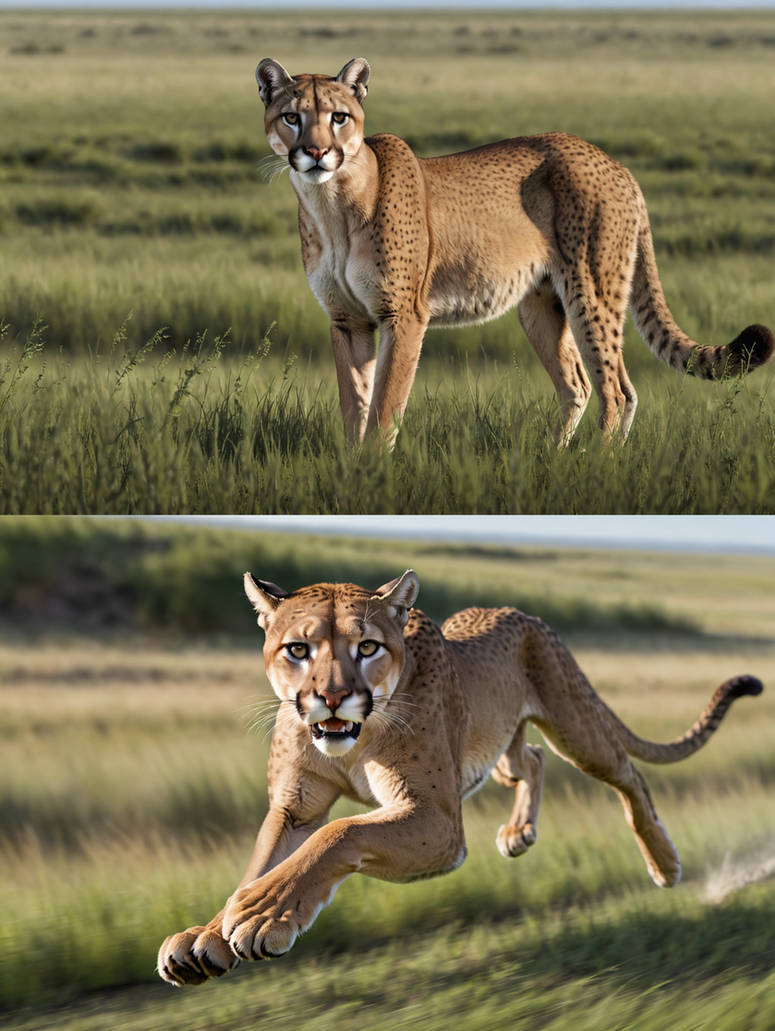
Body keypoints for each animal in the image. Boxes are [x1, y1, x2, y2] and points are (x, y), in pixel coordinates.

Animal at [157, 569, 763, 986]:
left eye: (367, 646)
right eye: (298, 649)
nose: (332, 698)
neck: (352, 740)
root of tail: (518, 612)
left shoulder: (440, 822)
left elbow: (340, 834)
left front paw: (262, 915)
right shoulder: (295, 806)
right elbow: (260, 863)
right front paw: (207, 936)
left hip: (575, 728)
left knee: (627, 772)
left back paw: (663, 862)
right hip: (496, 751)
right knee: (532, 759)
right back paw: (519, 833)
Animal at [254, 57, 773, 448]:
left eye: (339, 117)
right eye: (292, 117)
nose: (316, 153)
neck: (332, 202)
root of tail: (613, 162)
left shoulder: (403, 315)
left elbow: (385, 405)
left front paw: (372, 470)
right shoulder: (348, 320)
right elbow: (354, 404)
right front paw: (350, 467)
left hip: (591, 291)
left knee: (617, 390)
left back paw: (594, 469)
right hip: (541, 305)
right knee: (580, 384)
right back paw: (553, 459)